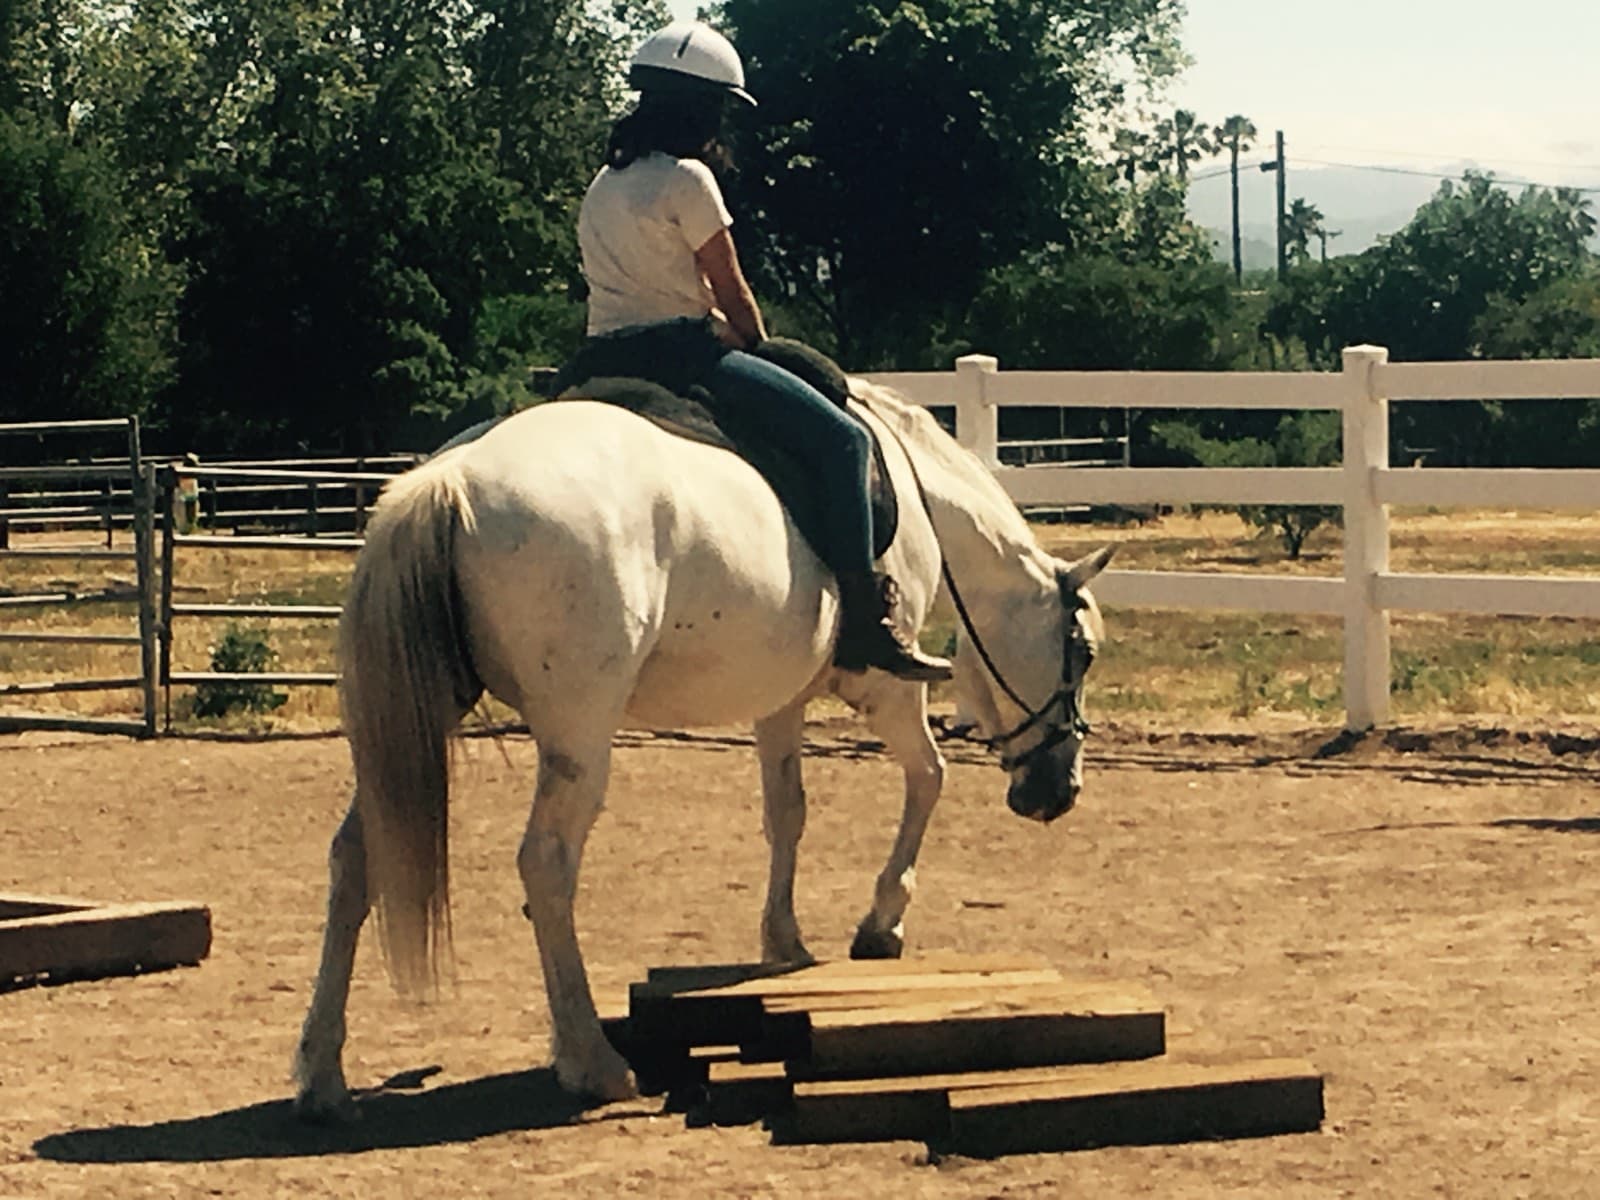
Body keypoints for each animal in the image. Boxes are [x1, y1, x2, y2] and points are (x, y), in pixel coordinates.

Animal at [292, 379, 1114, 1119]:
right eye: (1082, 652)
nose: (1058, 793)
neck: (917, 503)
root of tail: (450, 479)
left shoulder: (779, 698)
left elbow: (787, 812)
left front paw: (784, 942)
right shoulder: (886, 688)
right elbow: (929, 778)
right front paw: (882, 925)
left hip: (424, 713)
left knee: (356, 858)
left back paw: (322, 1076)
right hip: (578, 731)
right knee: (546, 865)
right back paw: (593, 1062)